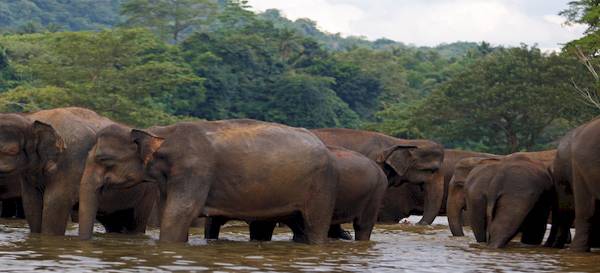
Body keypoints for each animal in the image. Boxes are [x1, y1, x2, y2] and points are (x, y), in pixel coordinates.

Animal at [76, 119, 338, 242]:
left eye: (103, 158)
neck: (160, 132)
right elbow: (168, 213)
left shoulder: (195, 170)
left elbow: (179, 214)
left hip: (321, 189)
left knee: (314, 227)